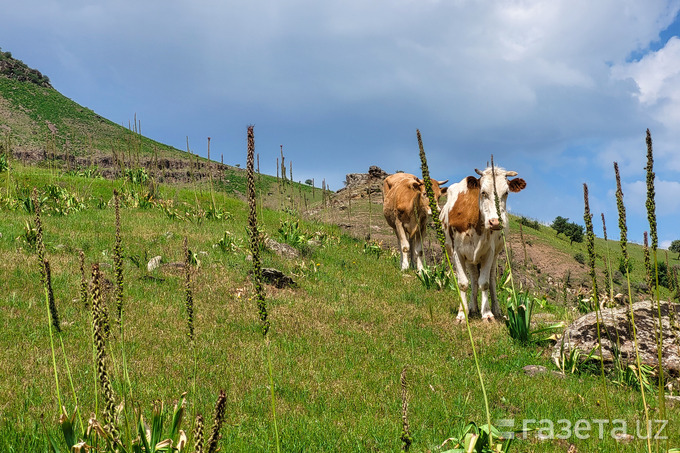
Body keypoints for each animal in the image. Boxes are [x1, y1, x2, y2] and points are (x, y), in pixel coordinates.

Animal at [438, 167, 528, 322]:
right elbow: (463, 283)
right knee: (473, 278)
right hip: (469, 258)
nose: (495, 222)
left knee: (490, 280)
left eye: (506, 193)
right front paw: (462, 313)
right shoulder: (458, 252)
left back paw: (495, 310)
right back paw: (472, 307)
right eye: (483, 192)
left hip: (495, 254)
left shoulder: (489, 252)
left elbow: (484, 283)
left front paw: (487, 313)